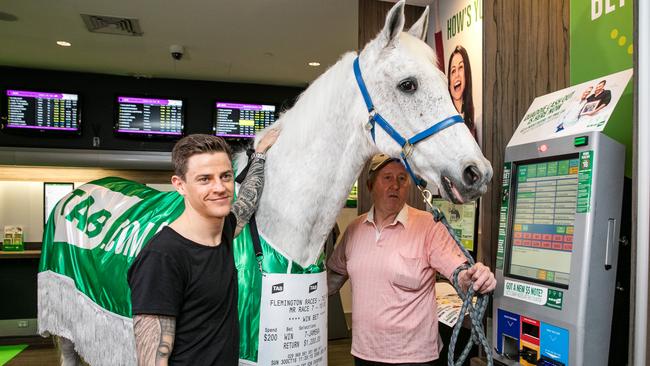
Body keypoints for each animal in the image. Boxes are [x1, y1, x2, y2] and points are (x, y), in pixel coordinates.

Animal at [48, 2, 488, 364]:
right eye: (408, 84)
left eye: (443, 81)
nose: (477, 172)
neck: (281, 230)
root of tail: (75, 195)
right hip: (67, 326)